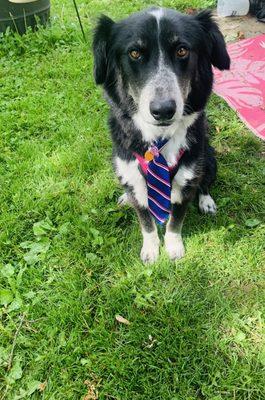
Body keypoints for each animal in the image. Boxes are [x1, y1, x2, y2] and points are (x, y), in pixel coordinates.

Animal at [92, 7, 229, 264]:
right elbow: (146, 221)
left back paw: (206, 201)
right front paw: (151, 249)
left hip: (209, 158)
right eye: (134, 53)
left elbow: (175, 220)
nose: (163, 110)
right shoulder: (130, 171)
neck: (158, 140)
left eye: (182, 50)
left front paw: (173, 248)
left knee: (205, 183)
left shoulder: (186, 179)